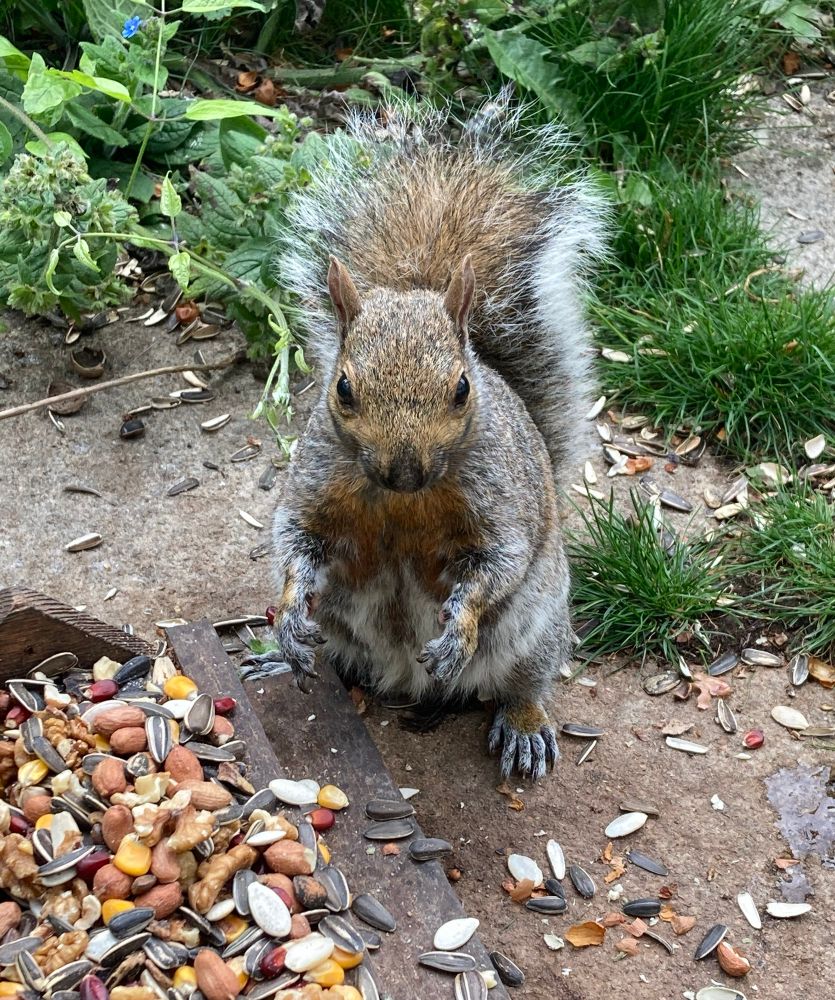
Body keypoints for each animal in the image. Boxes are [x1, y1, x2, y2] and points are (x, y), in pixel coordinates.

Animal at [245, 100, 606, 779]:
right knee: (336, 657)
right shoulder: (312, 486)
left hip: (536, 626)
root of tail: (402, 680)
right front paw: (290, 616)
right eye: (343, 388)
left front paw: (457, 630)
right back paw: (282, 659)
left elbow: (497, 564)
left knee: (525, 680)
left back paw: (523, 724)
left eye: (462, 388)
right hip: (346, 633)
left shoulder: (500, 505)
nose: (405, 470)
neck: (402, 500)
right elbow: (294, 544)